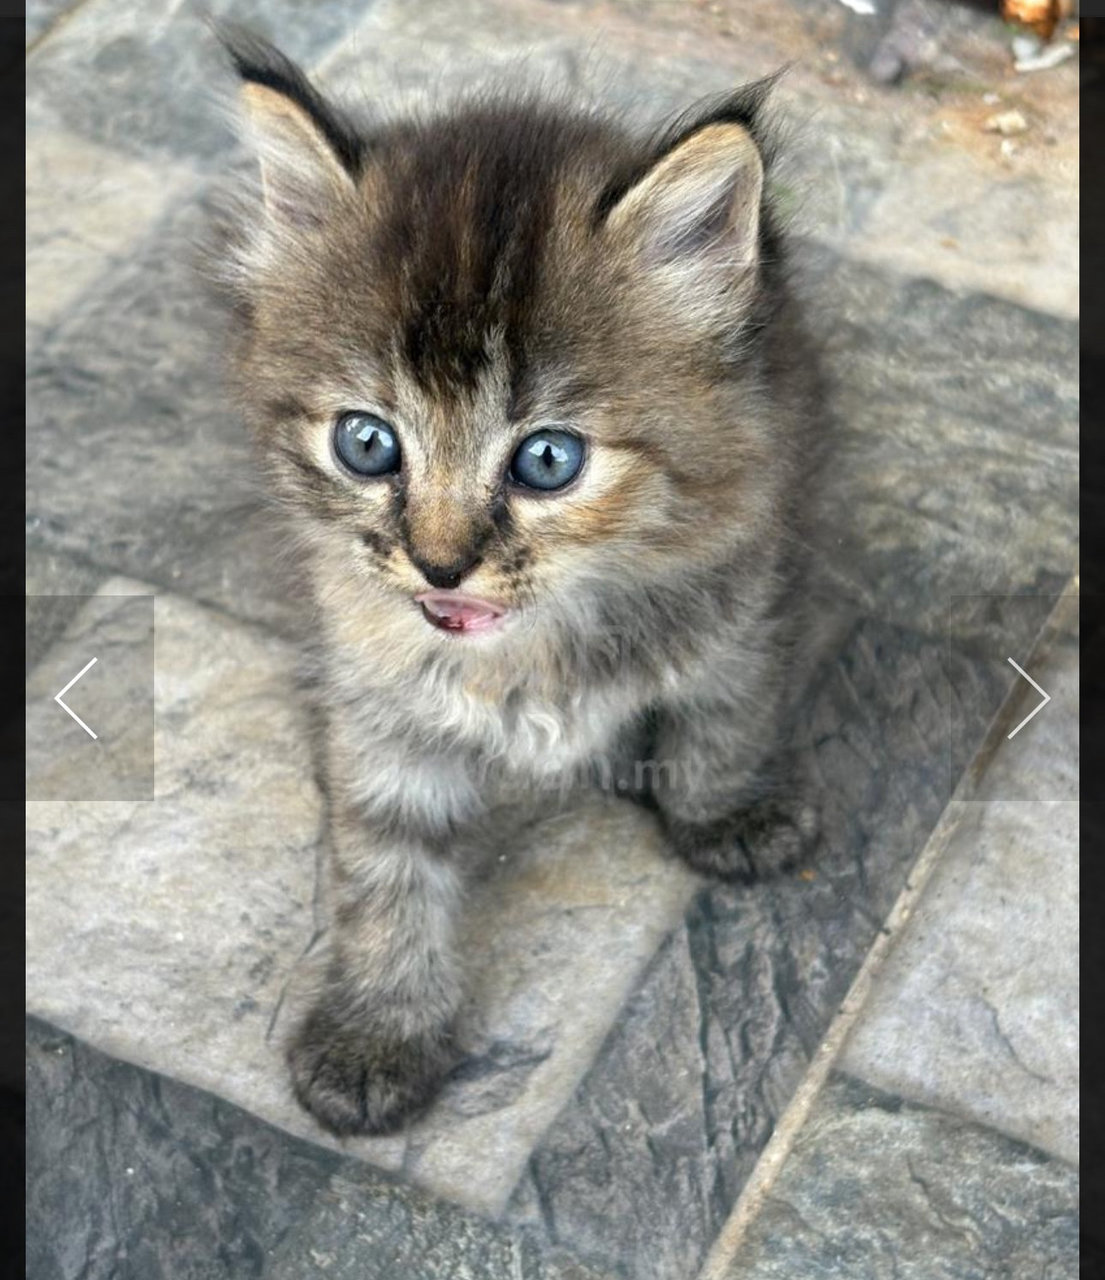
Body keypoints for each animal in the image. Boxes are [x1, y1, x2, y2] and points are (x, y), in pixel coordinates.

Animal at [209, 24, 829, 1136]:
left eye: (547, 459)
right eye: (367, 443)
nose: (439, 561)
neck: (528, 652)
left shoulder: (751, 570)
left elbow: (727, 710)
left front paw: (725, 809)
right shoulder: (372, 694)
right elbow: (384, 867)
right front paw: (378, 1032)